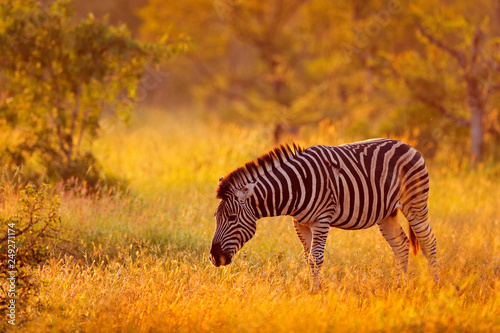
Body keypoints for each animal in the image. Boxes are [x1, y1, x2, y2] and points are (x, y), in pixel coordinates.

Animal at [210, 138, 438, 288]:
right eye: (216, 218)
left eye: (231, 218)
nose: (214, 258)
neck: (295, 186)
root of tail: (408, 146)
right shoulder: (300, 223)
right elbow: (307, 258)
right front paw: (313, 290)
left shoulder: (321, 219)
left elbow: (316, 258)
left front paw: (315, 292)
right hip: (386, 213)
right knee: (401, 245)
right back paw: (400, 285)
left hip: (415, 203)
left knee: (428, 241)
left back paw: (434, 284)